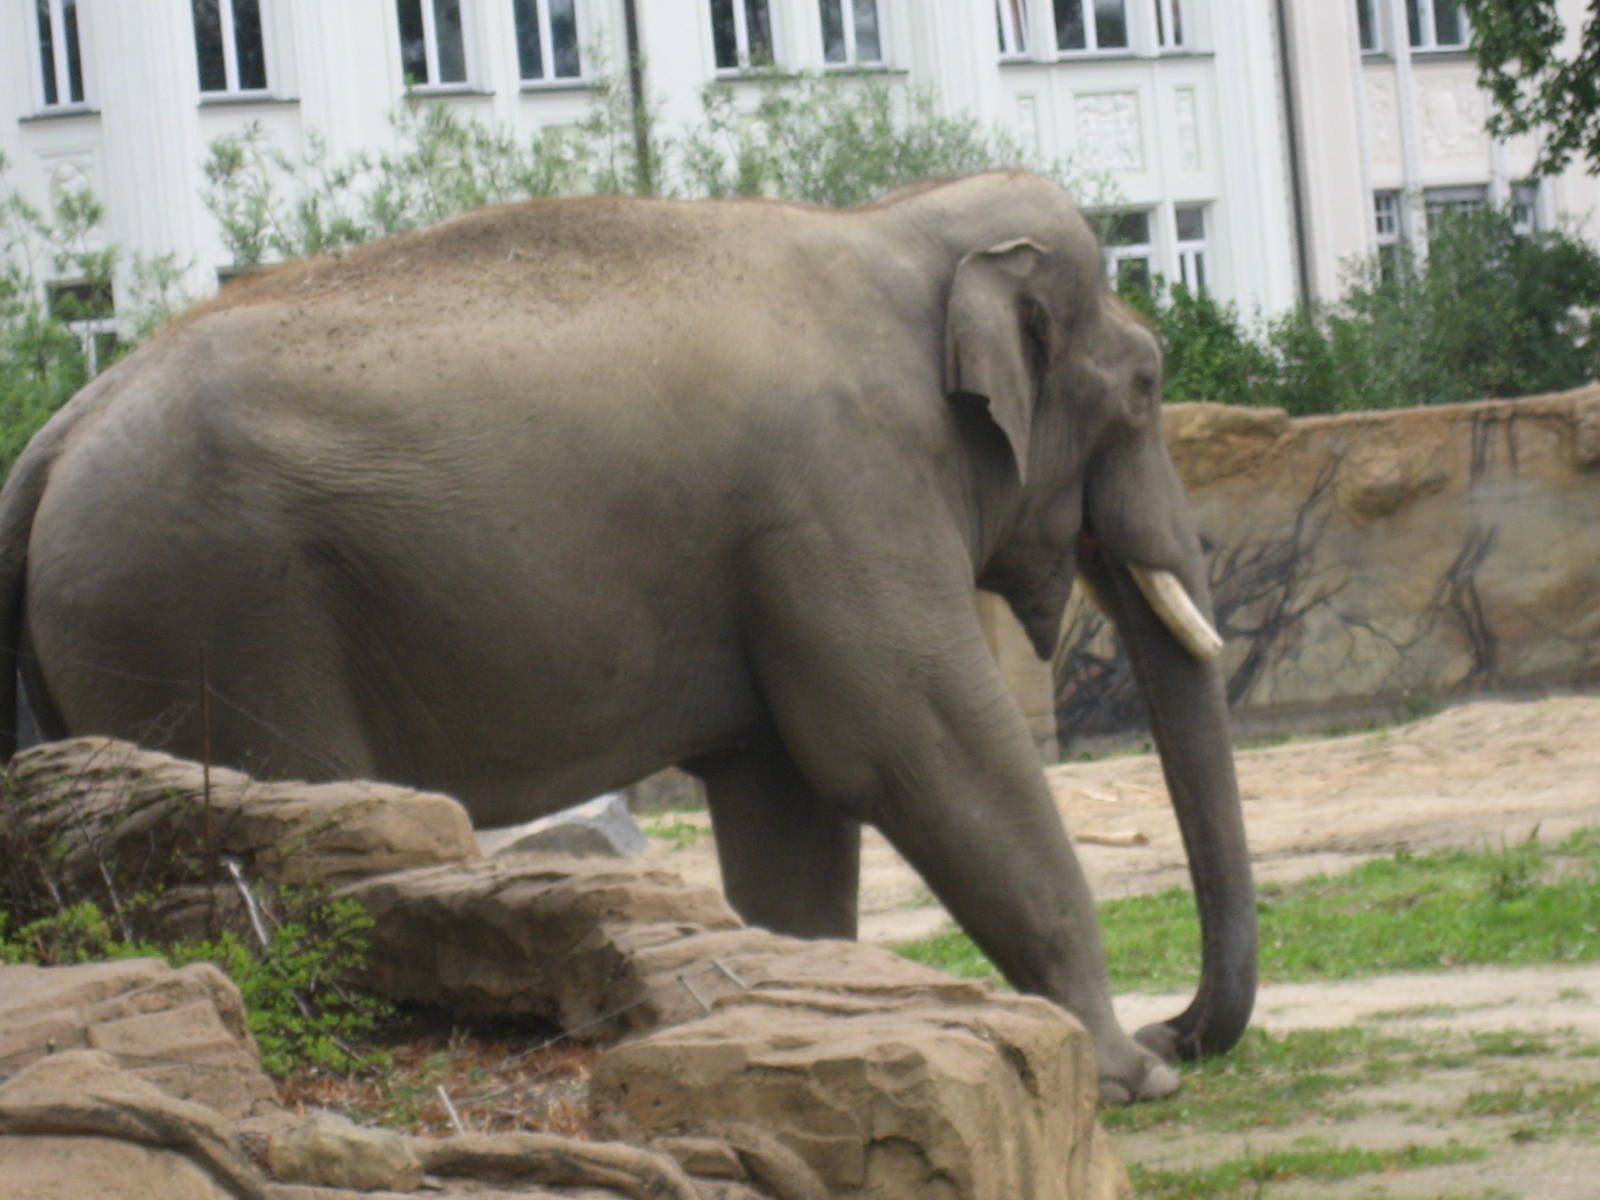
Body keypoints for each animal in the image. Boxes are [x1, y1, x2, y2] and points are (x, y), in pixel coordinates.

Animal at [0, 171, 1255, 1103]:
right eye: (1147, 386)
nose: (1177, 1029)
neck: (889, 224)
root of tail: (50, 440)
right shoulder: (840, 492)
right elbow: (914, 751)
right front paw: (1124, 1079)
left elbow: (789, 807)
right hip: (209, 612)